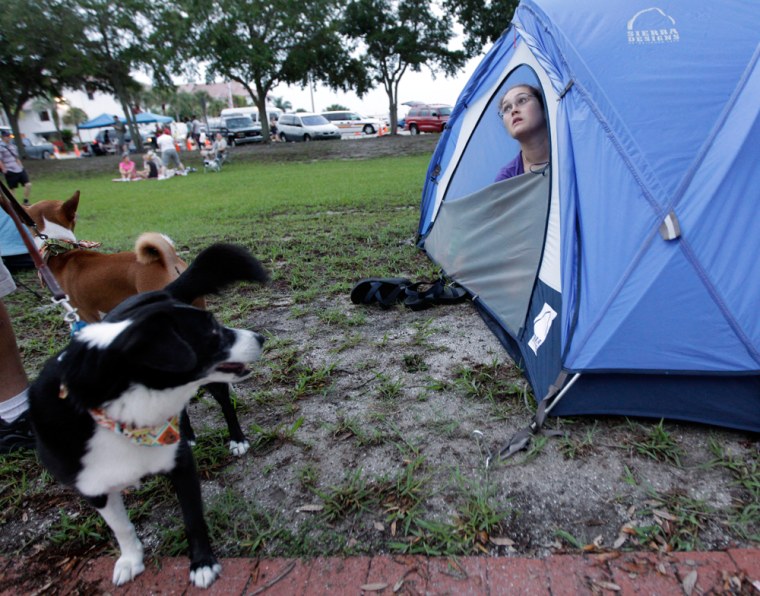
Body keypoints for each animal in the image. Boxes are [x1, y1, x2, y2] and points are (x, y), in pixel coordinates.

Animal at [29, 244, 270, 588]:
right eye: (212, 331)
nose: (260, 337)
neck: (121, 415)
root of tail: (162, 292)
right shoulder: (93, 486)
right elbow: (121, 528)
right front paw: (131, 560)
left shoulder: (180, 465)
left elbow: (193, 518)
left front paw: (203, 564)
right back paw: (189, 434)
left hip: (213, 383)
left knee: (225, 404)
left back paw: (236, 439)